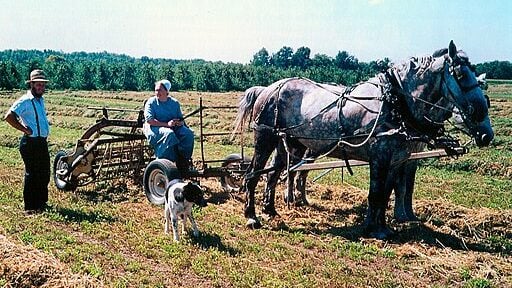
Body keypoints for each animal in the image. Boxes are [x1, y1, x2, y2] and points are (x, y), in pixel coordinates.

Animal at [234, 41, 494, 238]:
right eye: (460, 74)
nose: (487, 134)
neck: (396, 102)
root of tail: (266, 89)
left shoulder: (398, 158)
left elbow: (387, 192)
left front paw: (383, 226)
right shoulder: (380, 156)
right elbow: (376, 192)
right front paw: (374, 229)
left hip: (289, 143)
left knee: (274, 173)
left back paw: (270, 210)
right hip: (265, 138)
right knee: (252, 175)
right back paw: (252, 216)